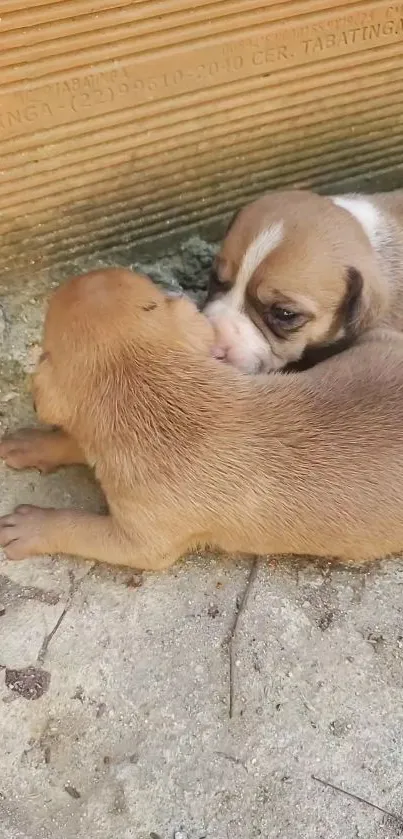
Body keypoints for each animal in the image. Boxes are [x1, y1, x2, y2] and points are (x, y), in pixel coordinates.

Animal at [0, 270, 403, 572]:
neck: (158, 398)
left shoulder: (142, 541)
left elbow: (77, 526)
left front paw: (32, 526)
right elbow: (73, 441)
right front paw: (32, 443)